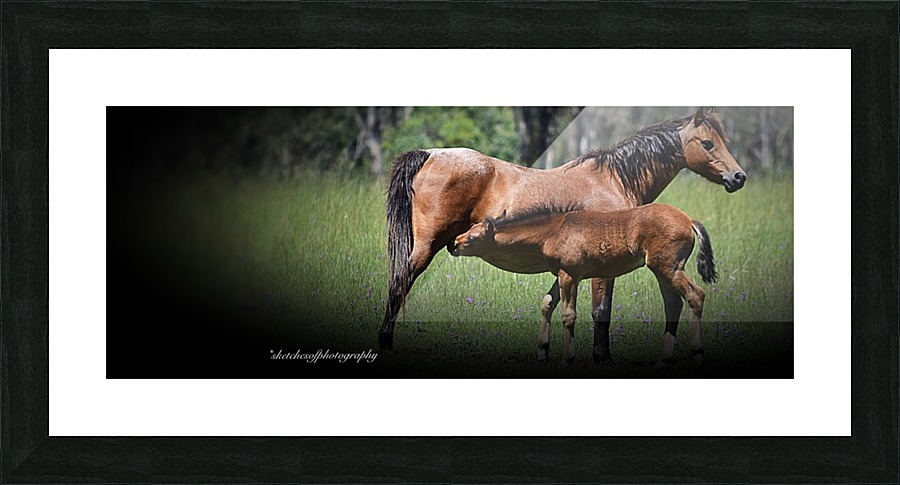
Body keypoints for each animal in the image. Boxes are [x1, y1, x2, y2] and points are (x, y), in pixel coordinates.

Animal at [451, 203, 717, 366]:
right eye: (469, 230)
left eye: (472, 237)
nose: (453, 243)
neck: (554, 230)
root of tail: (689, 220)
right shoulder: (561, 274)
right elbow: (547, 303)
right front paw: (542, 351)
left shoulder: (570, 275)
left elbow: (568, 314)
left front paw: (568, 358)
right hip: (663, 271)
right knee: (673, 305)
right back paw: (663, 361)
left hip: (668, 268)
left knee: (696, 296)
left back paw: (698, 353)